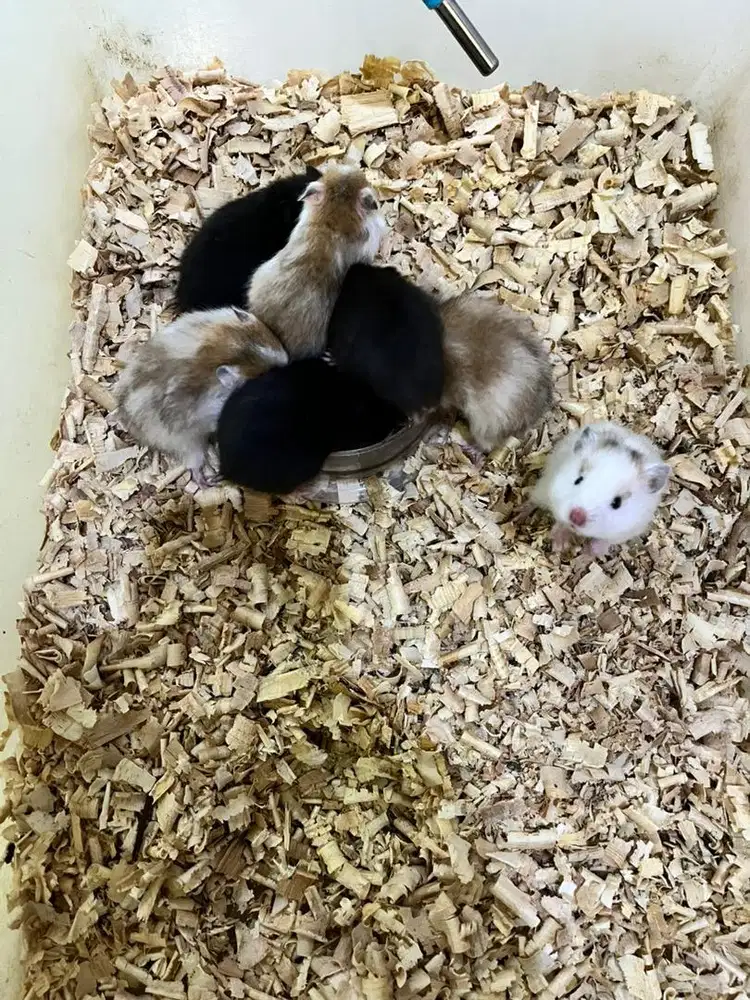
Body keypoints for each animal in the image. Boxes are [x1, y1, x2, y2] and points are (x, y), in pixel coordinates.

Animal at [117, 306, 288, 485]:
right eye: (268, 373)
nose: (286, 362)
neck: (223, 350)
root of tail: (126, 417)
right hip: (187, 444)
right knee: (194, 468)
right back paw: (208, 481)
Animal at [531, 421, 671, 557]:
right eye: (578, 480)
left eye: (617, 502)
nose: (576, 517)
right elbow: (561, 522)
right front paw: (560, 546)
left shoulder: (629, 529)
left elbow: (606, 541)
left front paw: (588, 551)